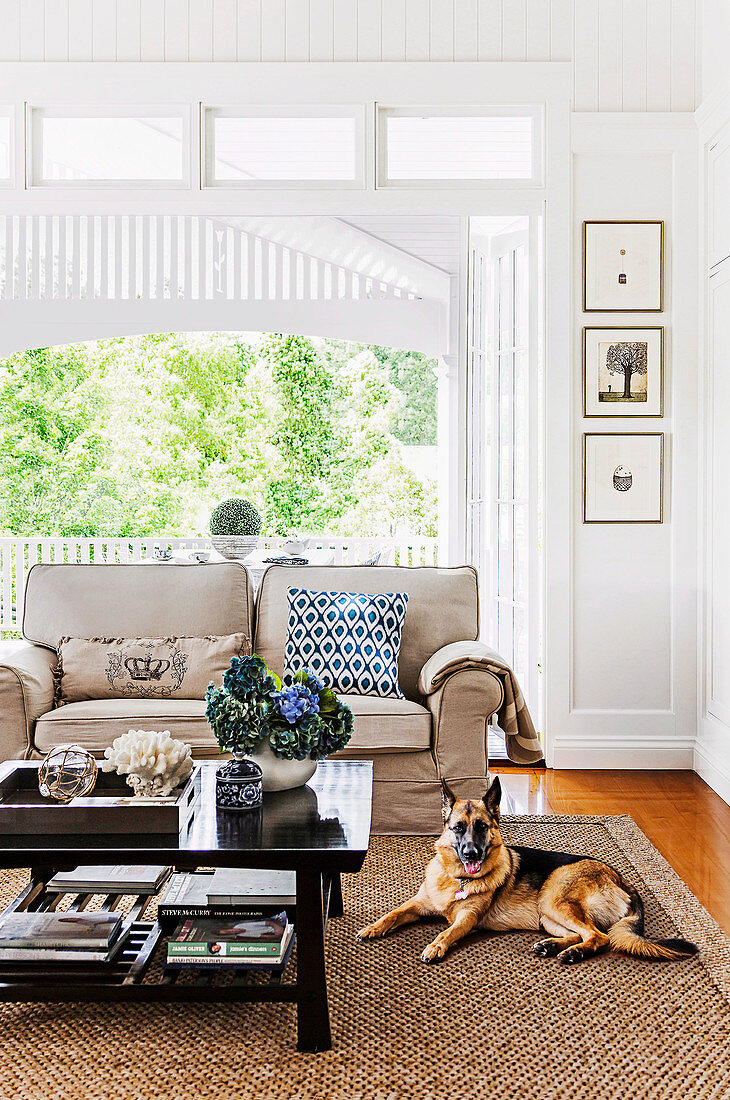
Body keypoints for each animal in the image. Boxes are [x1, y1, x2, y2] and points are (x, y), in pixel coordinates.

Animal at [356, 774, 699, 963]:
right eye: (457, 828)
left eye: (481, 827)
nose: (471, 854)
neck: (457, 879)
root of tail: (621, 879)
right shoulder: (418, 904)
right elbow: (393, 914)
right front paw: (373, 928)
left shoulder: (467, 919)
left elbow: (448, 930)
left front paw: (436, 946)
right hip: (548, 916)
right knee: (584, 933)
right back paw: (554, 946)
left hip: (553, 898)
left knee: (598, 936)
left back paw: (572, 954)